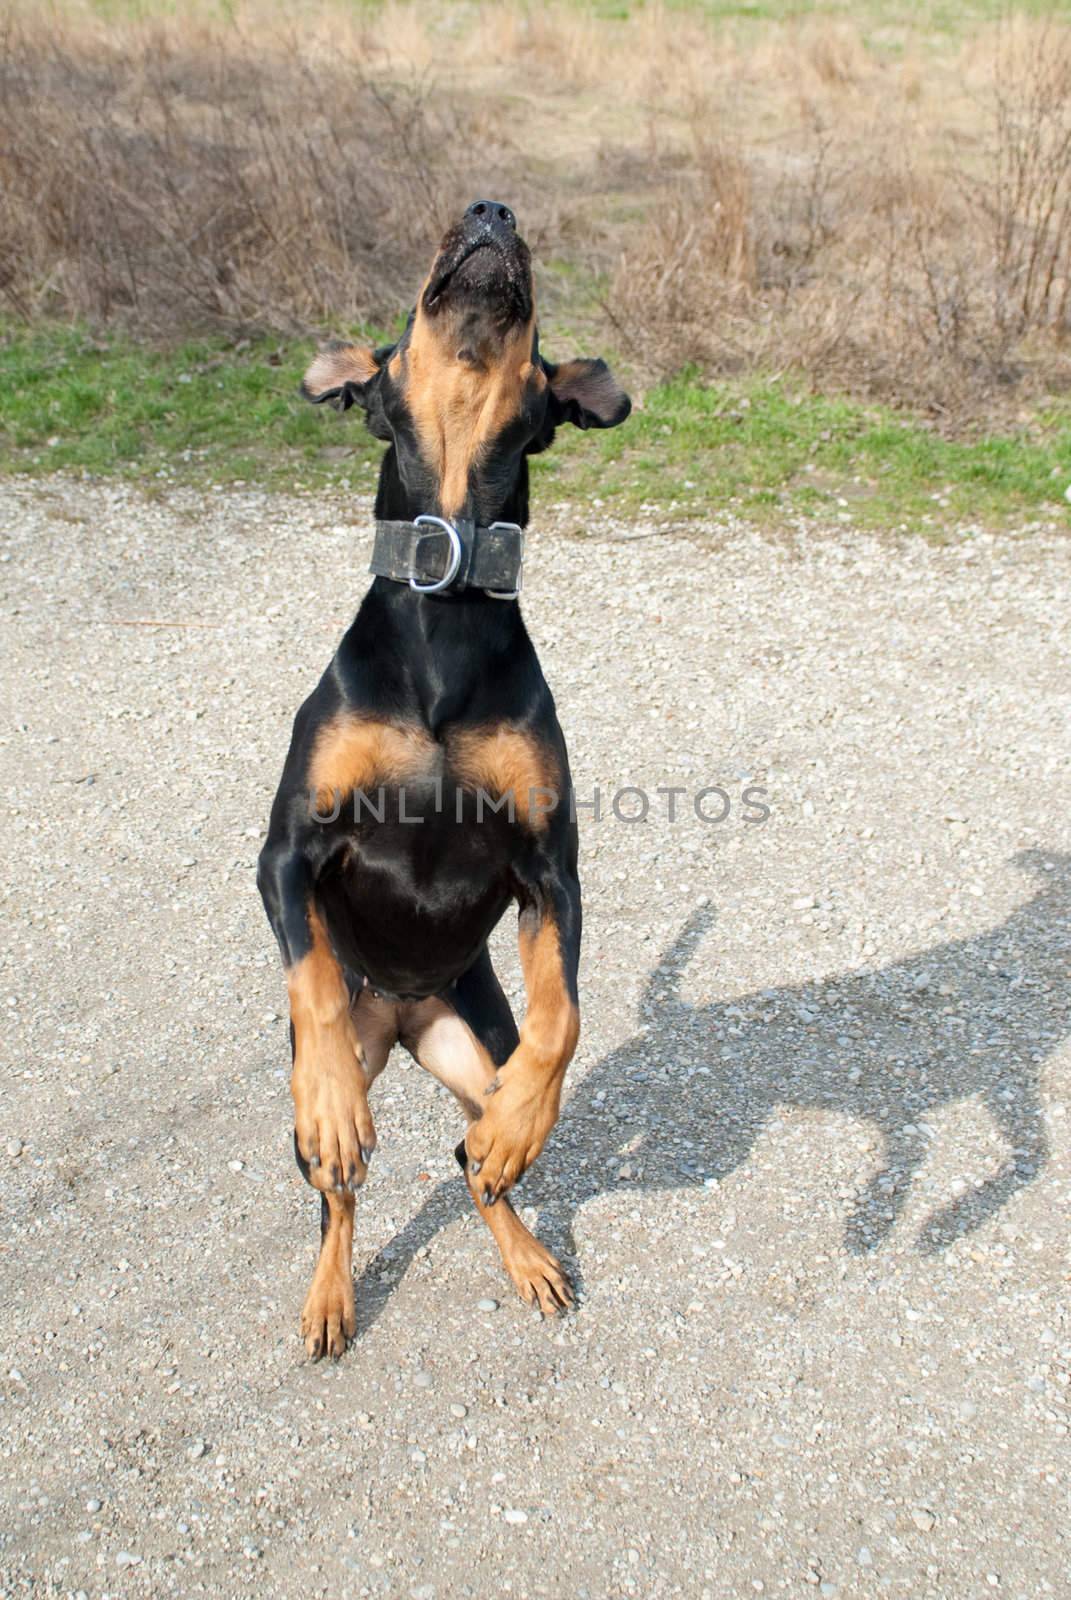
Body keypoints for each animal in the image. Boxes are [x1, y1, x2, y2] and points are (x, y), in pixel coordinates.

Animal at [257, 196, 627, 1350]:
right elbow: (312, 981)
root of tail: (411, 1009)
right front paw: (334, 1099)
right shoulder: (286, 851)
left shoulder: (552, 870)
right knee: (338, 1190)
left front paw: (522, 1125)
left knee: (475, 1162)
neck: (450, 583)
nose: (491, 208)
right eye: (399, 331)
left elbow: (565, 1017)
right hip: (359, 1055)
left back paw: (526, 1240)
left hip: (473, 1040)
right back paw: (331, 1292)